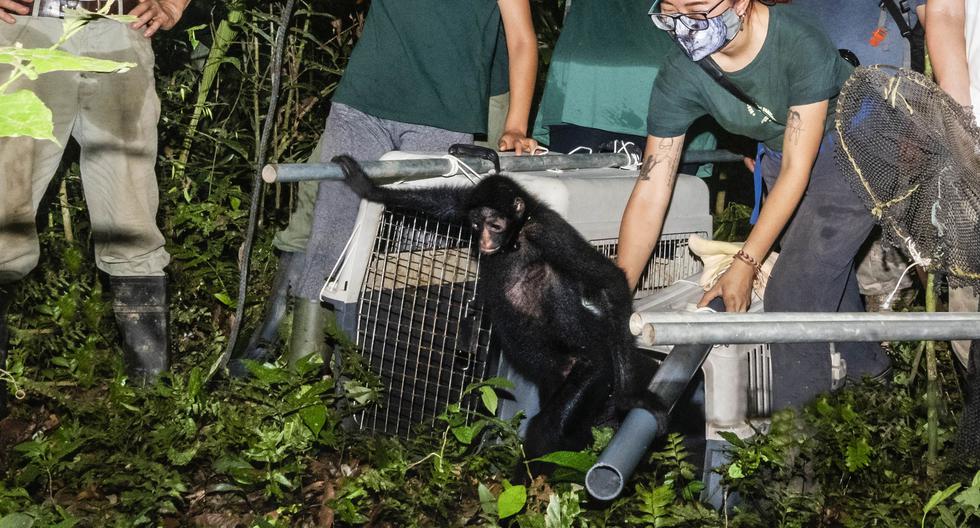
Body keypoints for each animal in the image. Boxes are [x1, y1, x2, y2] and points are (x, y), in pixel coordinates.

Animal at [336, 155, 652, 472]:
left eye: (496, 225)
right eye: (477, 224)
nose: (485, 241)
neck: (517, 236)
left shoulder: (547, 232)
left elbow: (610, 281)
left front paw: (627, 398)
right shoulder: (469, 204)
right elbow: (450, 204)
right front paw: (369, 186)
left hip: (593, 367)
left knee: (550, 427)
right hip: (555, 377)